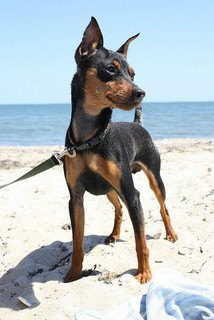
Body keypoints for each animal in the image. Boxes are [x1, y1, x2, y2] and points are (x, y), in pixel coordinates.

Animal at [63, 16, 177, 282]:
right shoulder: (76, 198)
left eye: (132, 73)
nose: (141, 92)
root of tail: (138, 124)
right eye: (110, 69)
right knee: (118, 208)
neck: (89, 140)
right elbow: (77, 242)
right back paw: (114, 234)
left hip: (152, 178)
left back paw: (170, 233)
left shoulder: (132, 193)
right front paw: (73, 274)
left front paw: (144, 273)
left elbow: (140, 241)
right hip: (110, 188)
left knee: (163, 207)